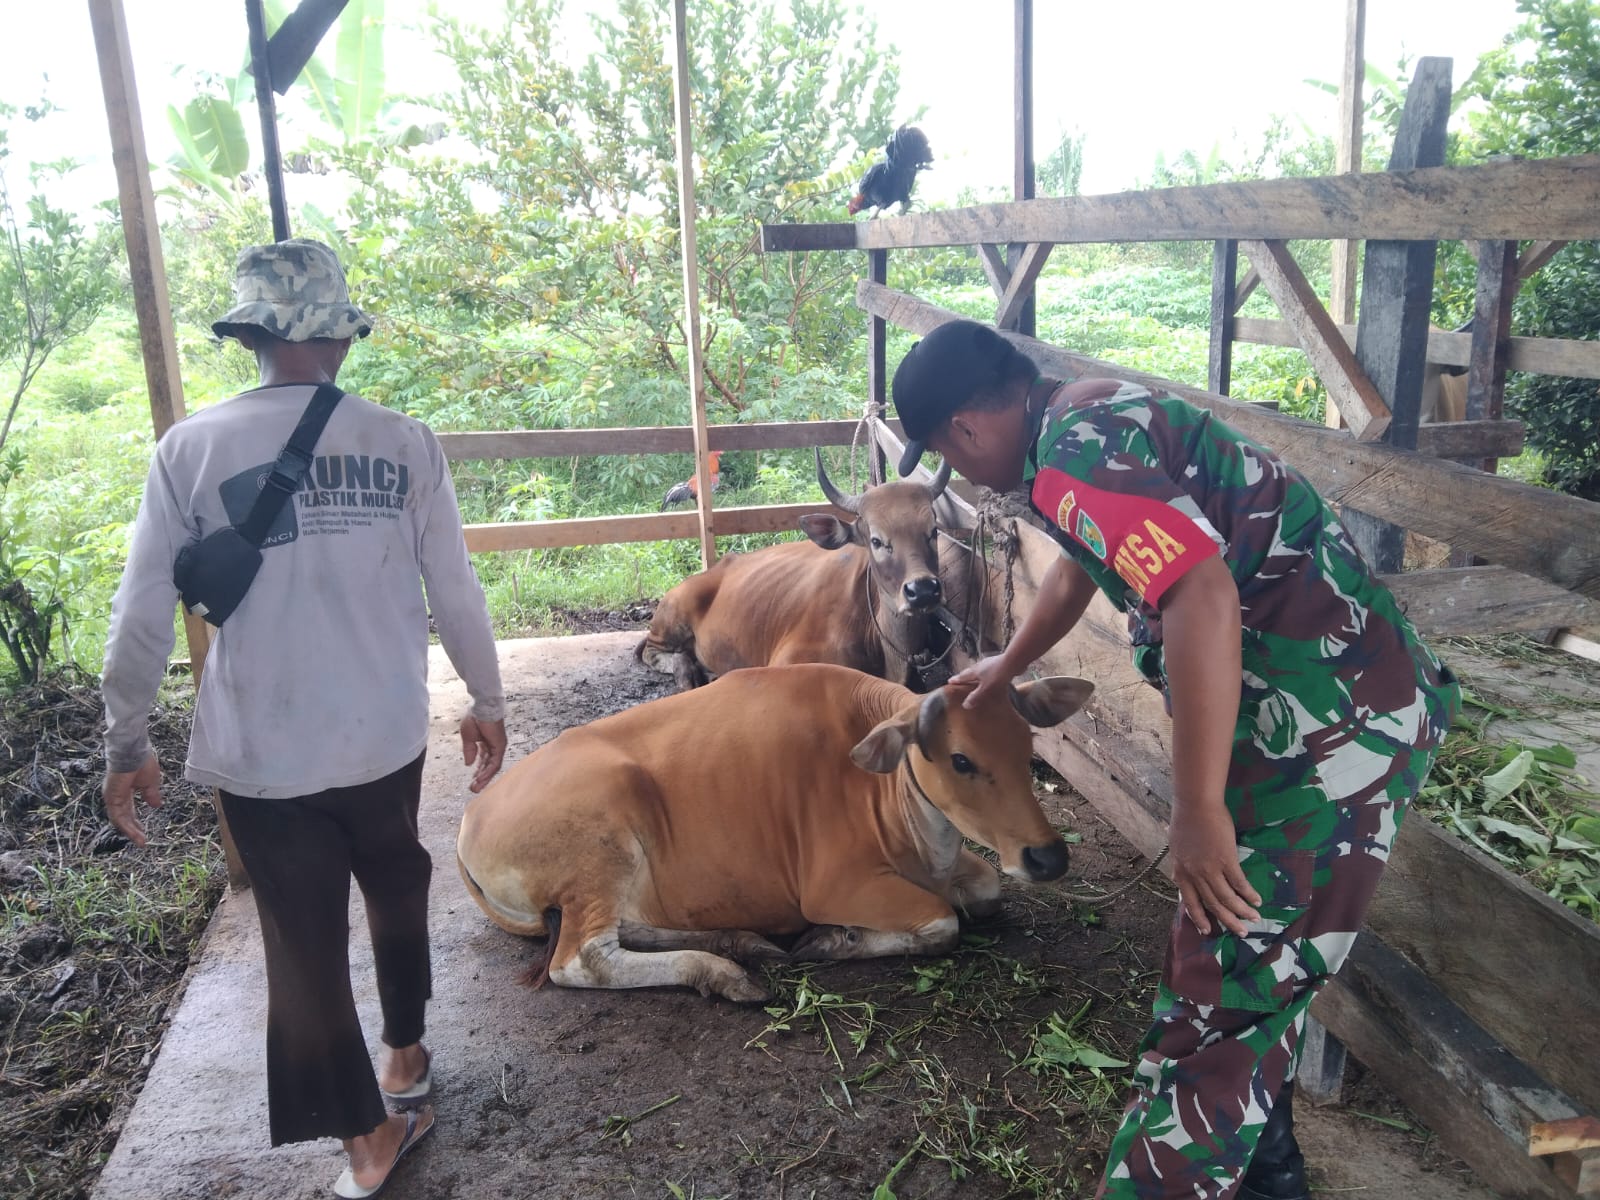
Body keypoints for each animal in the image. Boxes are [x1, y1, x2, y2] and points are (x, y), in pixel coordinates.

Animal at [457, 668, 1094, 1004]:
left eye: (1027, 745)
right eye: (961, 759)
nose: (1046, 856)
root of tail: (470, 818)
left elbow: (985, 889)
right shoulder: (832, 885)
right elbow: (942, 922)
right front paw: (839, 939)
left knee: (629, 929)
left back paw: (739, 943)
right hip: (603, 836)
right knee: (581, 959)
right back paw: (719, 971)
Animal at [633, 454, 960, 694]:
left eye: (933, 531)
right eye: (877, 541)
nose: (922, 590)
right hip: (672, 616)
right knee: (653, 651)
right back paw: (688, 672)